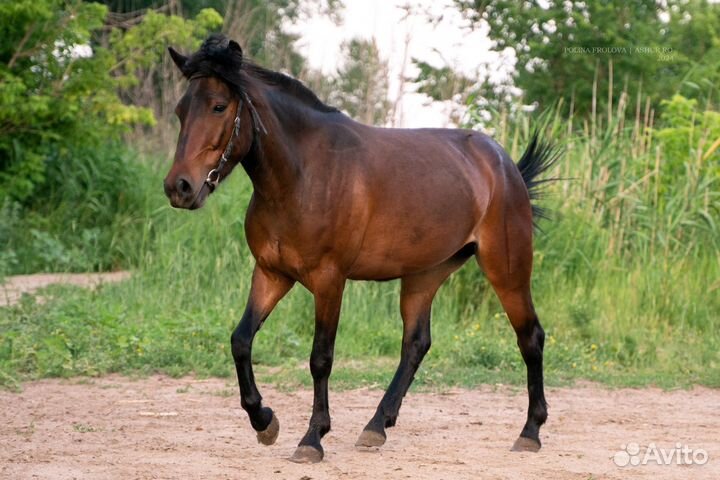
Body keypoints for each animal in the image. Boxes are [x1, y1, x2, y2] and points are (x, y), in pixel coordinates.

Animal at [164, 34, 555, 463]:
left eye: (219, 106)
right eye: (181, 109)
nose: (179, 187)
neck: (303, 175)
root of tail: (503, 163)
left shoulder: (329, 280)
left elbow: (321, 358)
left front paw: (312, 438)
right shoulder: (271, 274)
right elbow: (240, 341)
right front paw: (264, 421)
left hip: (507, 269)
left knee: (530, 337)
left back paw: (530, 431)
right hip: (424, 275)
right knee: (416, 344)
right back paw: (376, 426)